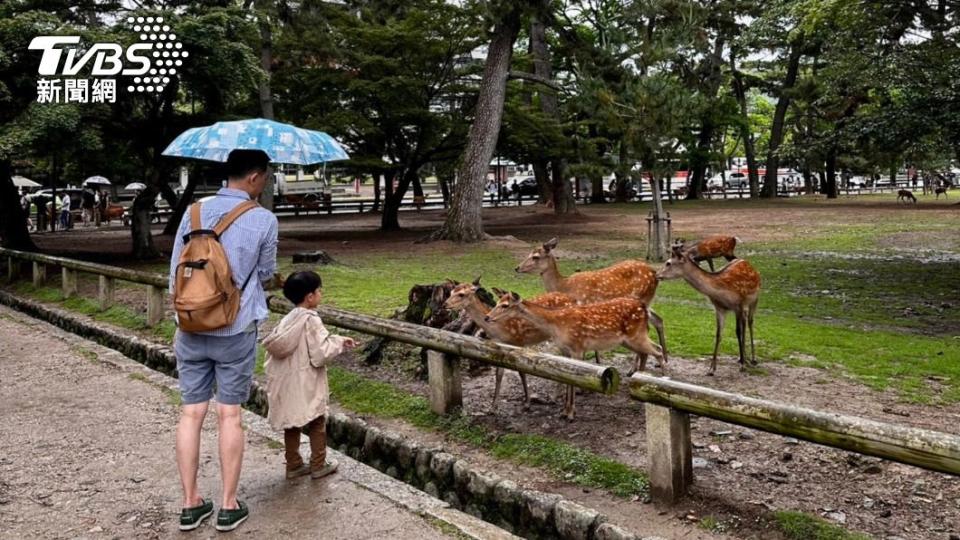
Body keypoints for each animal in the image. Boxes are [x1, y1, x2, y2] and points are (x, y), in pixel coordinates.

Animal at [444, 278, 576, 410]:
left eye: (461, 294)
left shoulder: (519, 341)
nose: (445, 304)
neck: (501, 330)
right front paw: (493, 407)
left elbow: (522, 372)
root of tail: (572, 299)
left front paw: (527, 403)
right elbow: (498, 374)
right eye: (451, 292)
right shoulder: (500, 346)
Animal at [484, 294, 664, 420]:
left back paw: (659, 383)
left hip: (636, 335)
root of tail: (643, 307)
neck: (556, 325)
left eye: (505, 305)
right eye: (497, 302)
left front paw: (570, 413)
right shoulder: (565, 350)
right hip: (628, 339)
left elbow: (573, 380)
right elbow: (566, 379)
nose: (487, 317)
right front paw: (564, 411)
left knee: (658, 350)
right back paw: (639, 380)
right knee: (647, 352)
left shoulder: (577, 347)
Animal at [516, 237, 668, 368]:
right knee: (658, 320)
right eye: (528, 253)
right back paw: (662, 359)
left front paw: (596, 362)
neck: (565, 286)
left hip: (644, 298)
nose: (517, 268)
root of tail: (655, 273)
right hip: (647, 302)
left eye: (535, 256)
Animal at [656, 245, 760, 376]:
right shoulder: (719, 308)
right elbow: (718, 334)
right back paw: (743, 357)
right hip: (745, 306)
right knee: (745, 321)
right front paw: (711, 369)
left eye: (668, 263)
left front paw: (742, 366)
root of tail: (748, 264)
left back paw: (752, 359)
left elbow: (737, 331)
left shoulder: (738, 305)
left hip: (754, 299)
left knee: (750, 322)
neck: (721, 292)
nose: (656, 274)